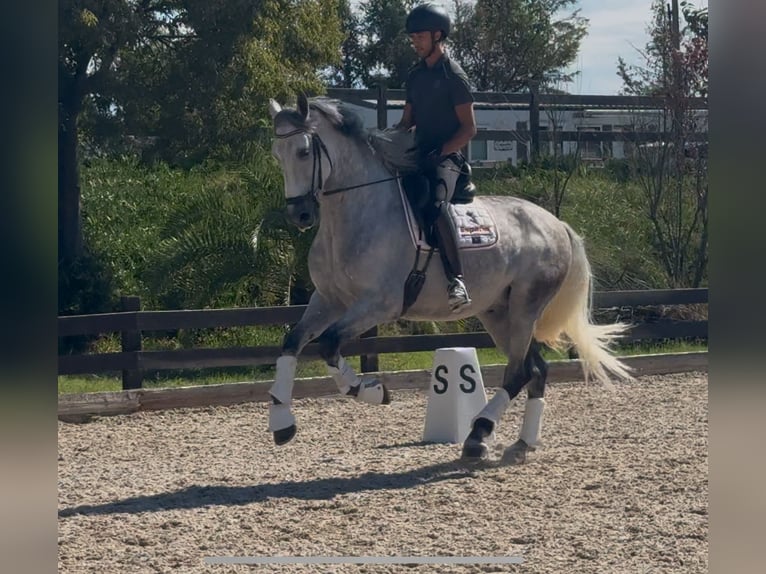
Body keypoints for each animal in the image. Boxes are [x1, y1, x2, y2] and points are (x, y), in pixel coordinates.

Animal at [266, 94, 632, 462]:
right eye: (277, 154)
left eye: (303, 151)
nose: (300, 214)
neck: (357, 213)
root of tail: (556, 224)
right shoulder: (328, 300)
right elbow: (293, 342)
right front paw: (282, 421)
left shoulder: (378, 304)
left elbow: (329, 344)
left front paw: (373, 391)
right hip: (499, 313)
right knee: (536, 370)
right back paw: (519, 444)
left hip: (526, 307)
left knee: (519, 371)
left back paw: (479, 433)